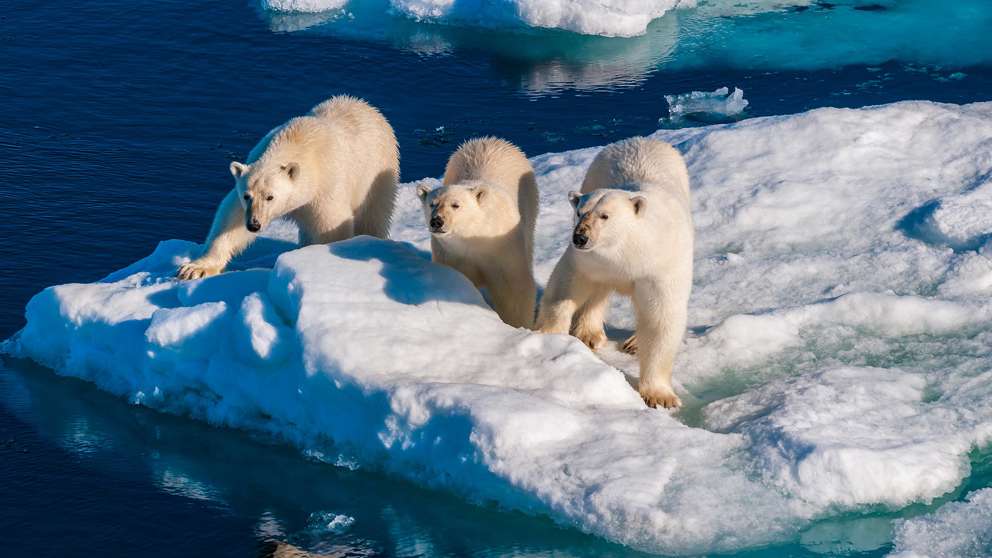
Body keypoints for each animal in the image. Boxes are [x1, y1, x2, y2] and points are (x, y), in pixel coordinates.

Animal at [178, 97, 400, 282]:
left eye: (270, 197)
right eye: (247, 196)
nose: (254, 225)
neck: (298, 142)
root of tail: (366, 106)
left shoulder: (326, 188)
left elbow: (331, 226)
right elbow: (231, 219)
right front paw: (194, 269)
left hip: (378, 172)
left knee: (374, 215)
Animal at [414, 137, 540, 328]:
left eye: (455, 205)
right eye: (432, 204)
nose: (437, 221)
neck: (475, 236)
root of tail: (488, 139)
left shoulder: (503, 248)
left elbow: (513, 288)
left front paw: (517, 324)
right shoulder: (451, 254)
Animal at [540, 138, 692, 410]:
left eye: (605, 215)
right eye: (580, 212)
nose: (580, 237)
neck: (629, 250)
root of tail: (639, 139)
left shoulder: (660, 266)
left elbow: (661, 317)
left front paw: (660, 396)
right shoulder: (589, 260)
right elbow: (565, 287)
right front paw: (550, 336)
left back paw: (633, 342)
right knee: (598, 291)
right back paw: (589, 334)